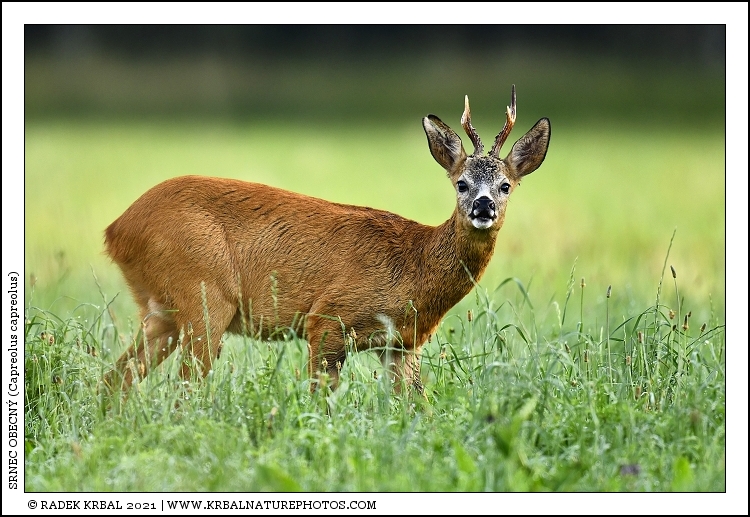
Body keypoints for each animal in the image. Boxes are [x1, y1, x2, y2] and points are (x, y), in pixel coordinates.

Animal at [102, 85, 550, 395]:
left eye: (506, 185)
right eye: (461, 183)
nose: (483, 205)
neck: (414, 267)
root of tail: (116, 228)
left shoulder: (403, 346)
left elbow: (420, 407)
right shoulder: (327, 320)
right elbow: (322, 403)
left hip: (162, 310)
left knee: (113, 379)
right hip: (205, 296)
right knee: (182, 391)